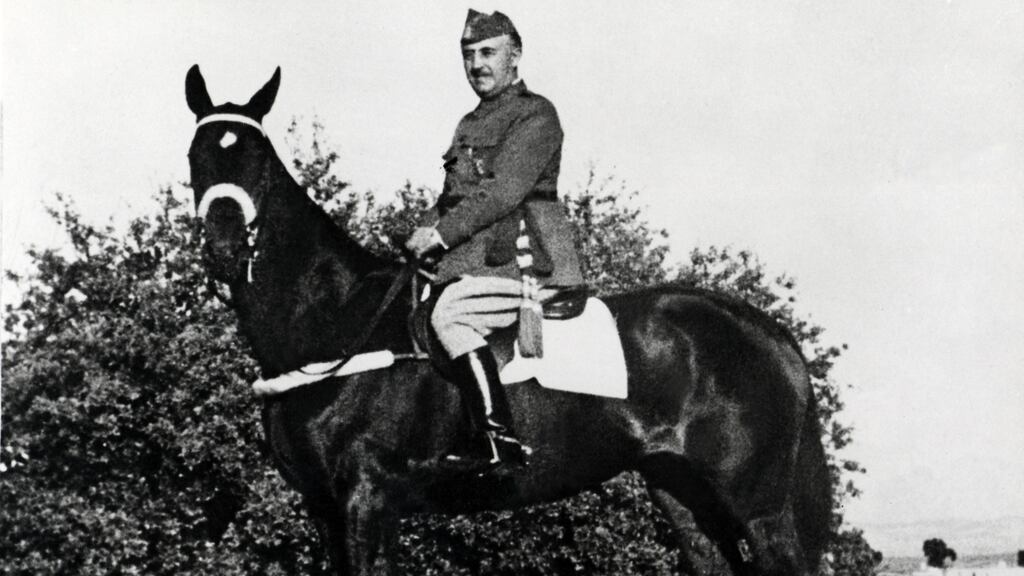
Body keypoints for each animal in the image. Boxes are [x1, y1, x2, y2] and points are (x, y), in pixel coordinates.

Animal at [184, 65, 831, 576]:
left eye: (258, 160)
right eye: (197, 156)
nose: (223, 247)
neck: (335, 318)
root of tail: (769, 333)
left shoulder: (366, 499)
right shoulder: (324, 508)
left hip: (760, 508)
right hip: (684, 497)